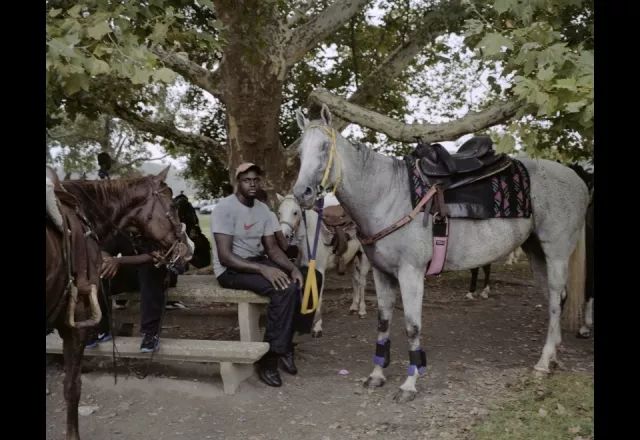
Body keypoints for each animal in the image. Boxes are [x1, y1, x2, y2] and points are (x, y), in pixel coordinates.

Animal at [276, 193, 372, 336]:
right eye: (279, 212)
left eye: (295, 212)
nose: (284, 235)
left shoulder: (320, 271)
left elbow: (318, 297)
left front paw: (317, 327)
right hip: (351, 260)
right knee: (355, 280)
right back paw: (353, 307)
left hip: (363, 258)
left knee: (361, 283)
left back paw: (362, 310)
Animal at [292, 106, 588, 402]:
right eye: (300, 152)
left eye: (324, 146)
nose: (301, 193)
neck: (387, 195)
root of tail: (577, 179)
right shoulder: (382, 273)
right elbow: (383, 323)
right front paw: (376, 376)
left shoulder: (411, 273)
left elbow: (412, 326)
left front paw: (409, 384)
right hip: (536, 252)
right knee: (554, 297)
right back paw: (553, 356)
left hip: (556, 253)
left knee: (554, 300)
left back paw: (543, 362)